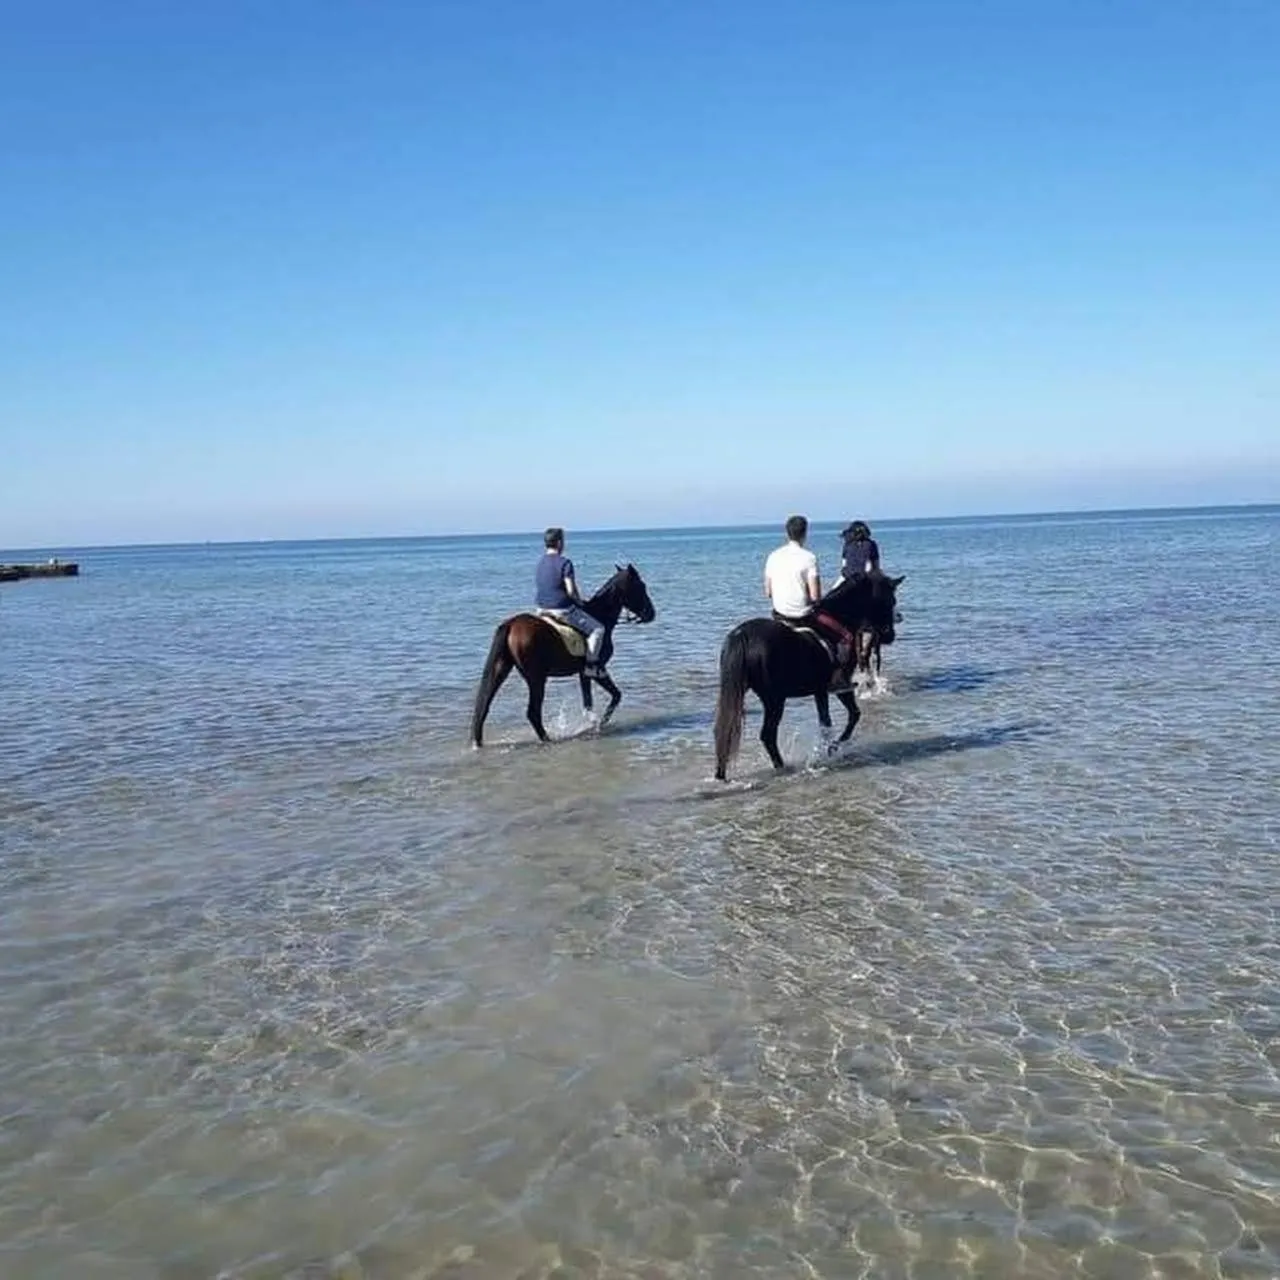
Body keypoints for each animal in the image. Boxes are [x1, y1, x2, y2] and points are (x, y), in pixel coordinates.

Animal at [471, 563, 656, 747]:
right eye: (641, 586)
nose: (651, 614)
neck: (599, 614)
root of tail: (511, 625)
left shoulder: (584, 673)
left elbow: (589, 703)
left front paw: (593, 725)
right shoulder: (597, 669)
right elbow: (615, 696)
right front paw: (599, 725)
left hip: (501, 670)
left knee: (484, 705)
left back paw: (478, 742)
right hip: (536, 678)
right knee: (533, 712)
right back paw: (547, 740)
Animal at [712, 571, 904, 781]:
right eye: (890, 600)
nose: (890, 635)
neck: (837, 624)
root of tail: (741, 635)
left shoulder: (819, 691)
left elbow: (827, 722)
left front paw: (830, 749)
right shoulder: (839, 687)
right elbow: (850, 716)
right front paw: (832, 749)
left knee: (725, 730)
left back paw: (721, 774)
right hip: (774, 699)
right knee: (767, 734)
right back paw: (781, 767)